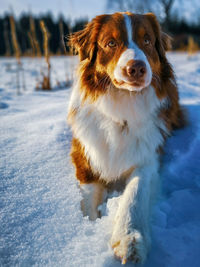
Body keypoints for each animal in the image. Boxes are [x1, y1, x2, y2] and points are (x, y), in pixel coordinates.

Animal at [68, 12, 185, 266]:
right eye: (111, 43)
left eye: (147, 40)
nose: (136, 68)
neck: (123, 105)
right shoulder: (84, 155)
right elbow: (89, 200)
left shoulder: (148, 157)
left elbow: (134, 194)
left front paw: (129, 239)